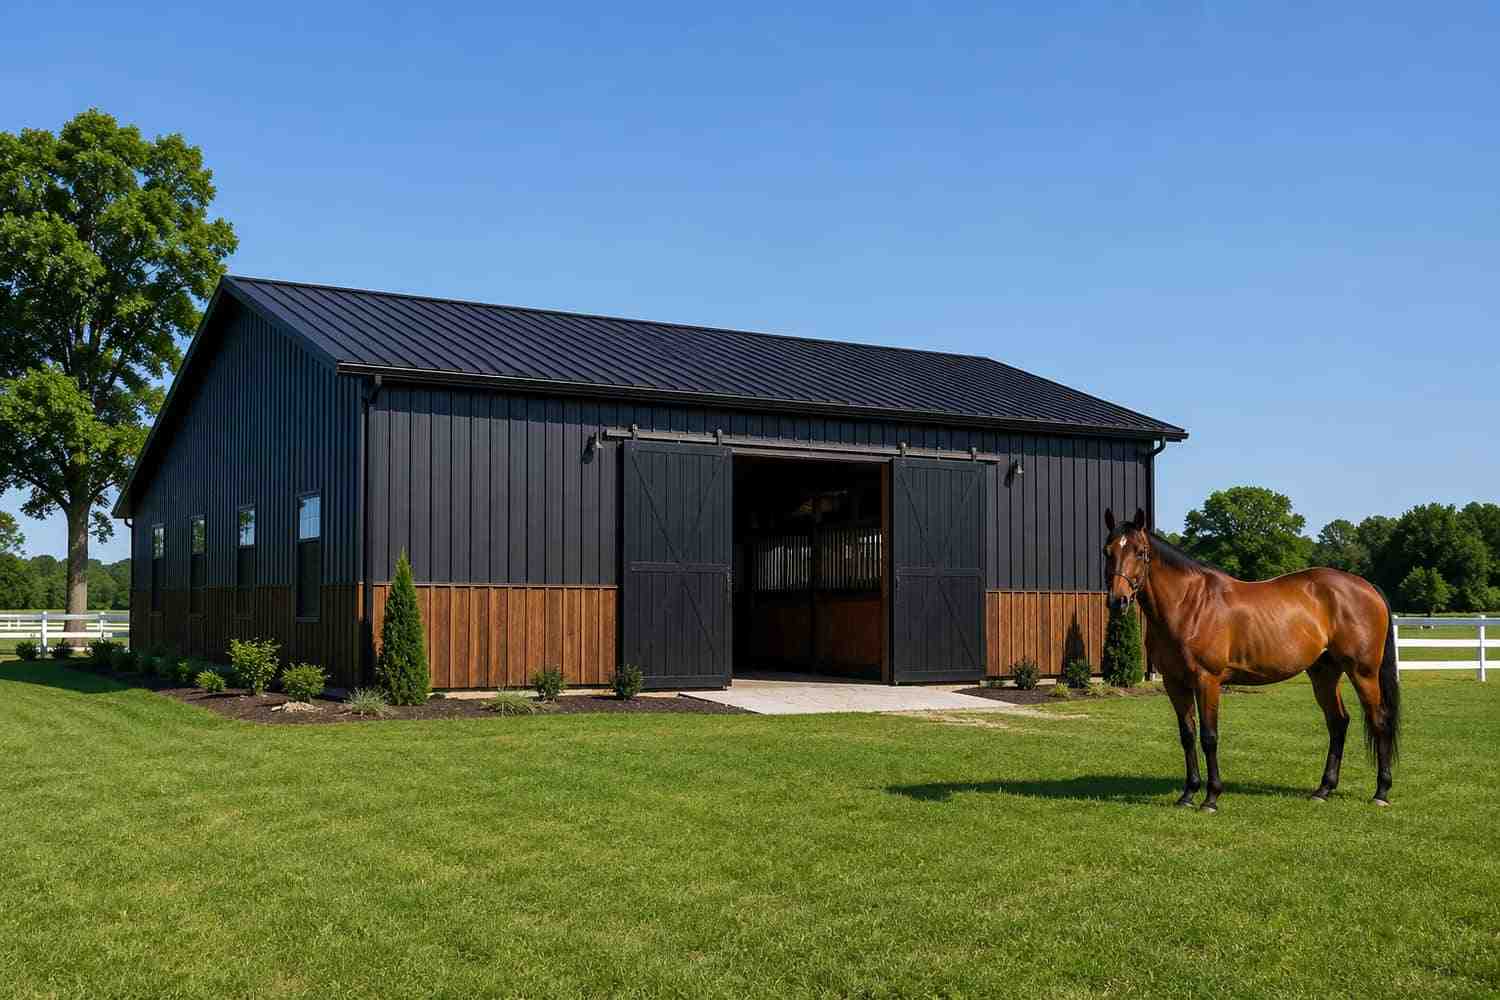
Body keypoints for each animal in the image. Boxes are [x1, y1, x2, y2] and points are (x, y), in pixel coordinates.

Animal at [1102, 507, 1400, 812]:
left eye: (1140, 552)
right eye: (1107, 551)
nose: (1118, 600)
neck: (1188, 605)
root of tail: (1367, 587)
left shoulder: (1207, 680)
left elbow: (1209, 737)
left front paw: (1211, 798)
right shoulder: (1175, 683)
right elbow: (1187, 735)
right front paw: (1188, 794)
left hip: (1363, 672)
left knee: (1379, 721)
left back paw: (1381, 792)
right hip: (1324, 673)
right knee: (1338, 722)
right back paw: (1323, 789)